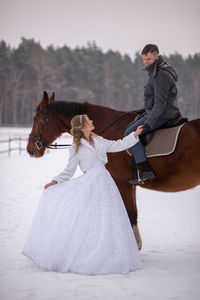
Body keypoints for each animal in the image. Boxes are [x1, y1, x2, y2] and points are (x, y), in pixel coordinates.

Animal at [27, 92, 200, 251]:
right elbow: (133, 213)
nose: (30, 149)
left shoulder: (123, 183)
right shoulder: (130, 185)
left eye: (36, 119)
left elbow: (130, 214)